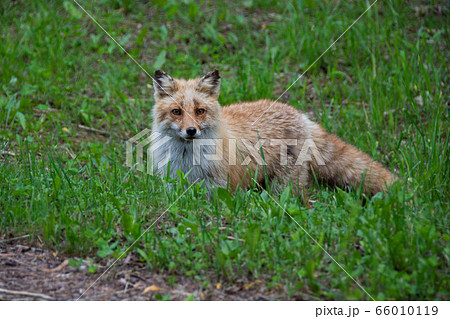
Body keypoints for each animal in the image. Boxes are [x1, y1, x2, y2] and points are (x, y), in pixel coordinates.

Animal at [149, 70, 396, 198]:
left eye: (199, 111)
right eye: (177, 112)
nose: (191, 131)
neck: (187, 158)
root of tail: (301, 115)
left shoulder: (218, 187)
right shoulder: (172, 183)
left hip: (283, 185)